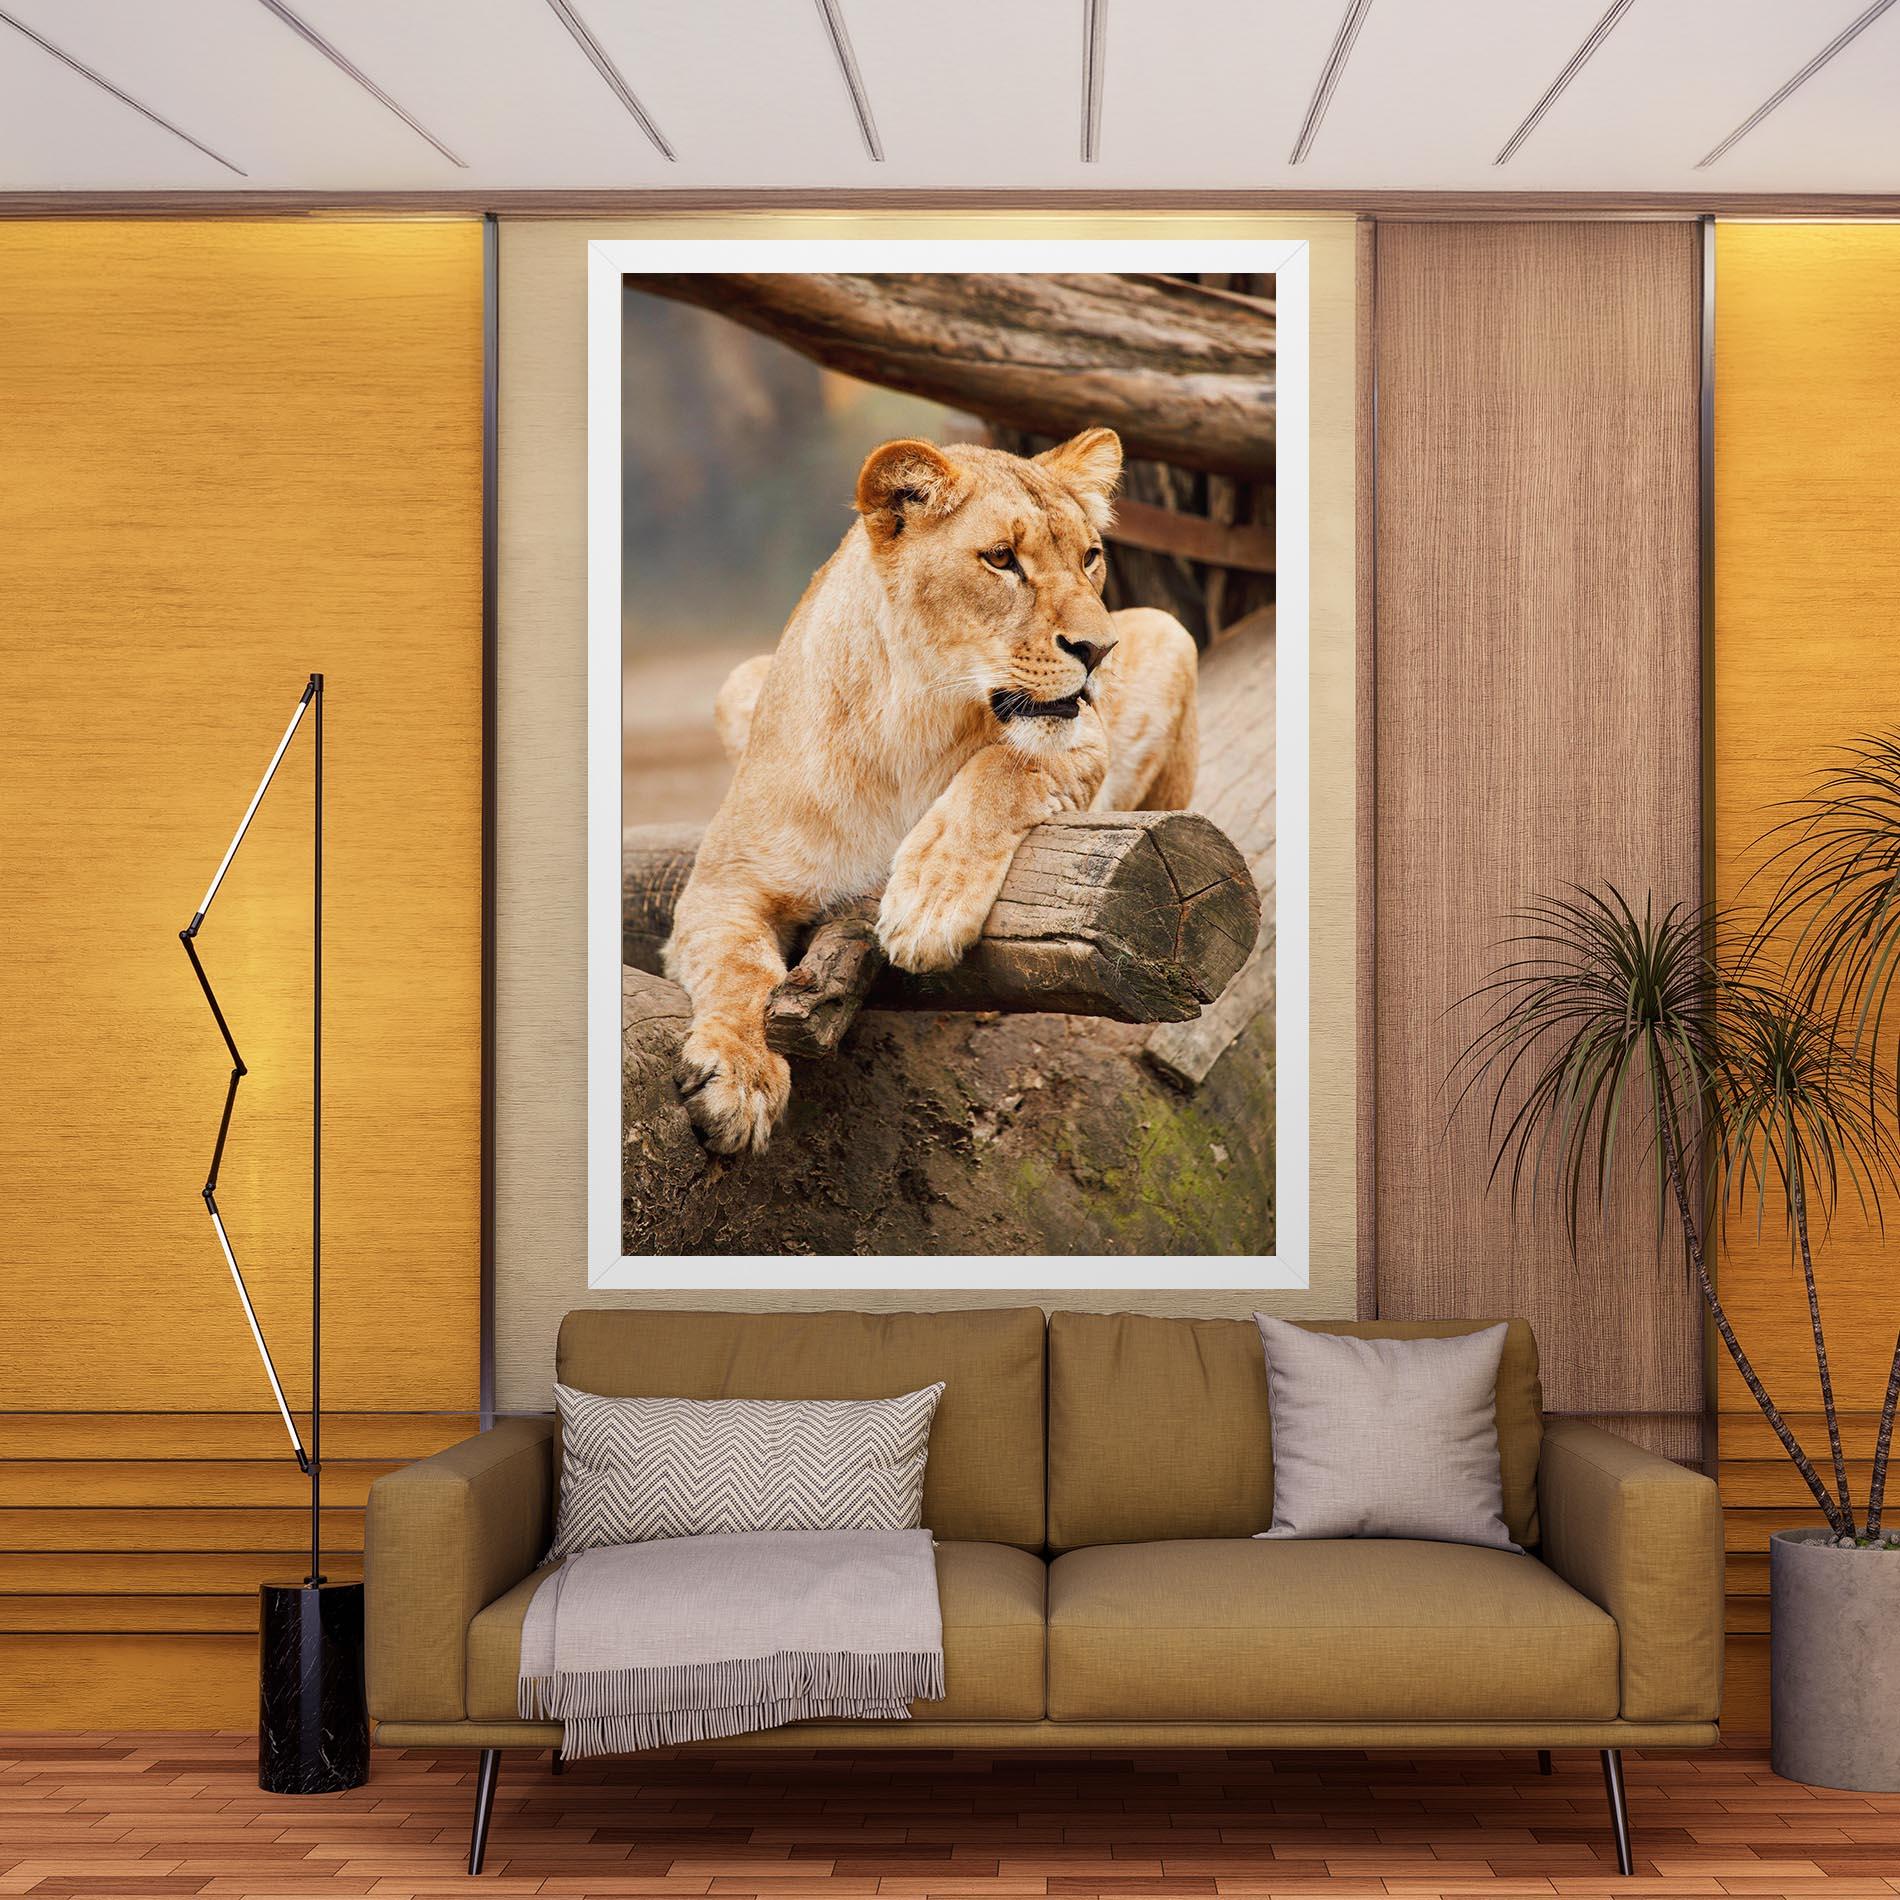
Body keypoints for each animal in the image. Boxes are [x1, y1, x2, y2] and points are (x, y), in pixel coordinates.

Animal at [662, 427, 1199, 1154]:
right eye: (1001, 559)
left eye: (1090, 558)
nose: (1100, 650)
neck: (911, 723)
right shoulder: (723, 882)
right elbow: (737, 965)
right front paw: (739, 1078)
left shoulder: (1084, 741)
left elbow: (1003, 768)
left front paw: (927, 906)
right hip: (738, 680)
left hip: (1171, 634)